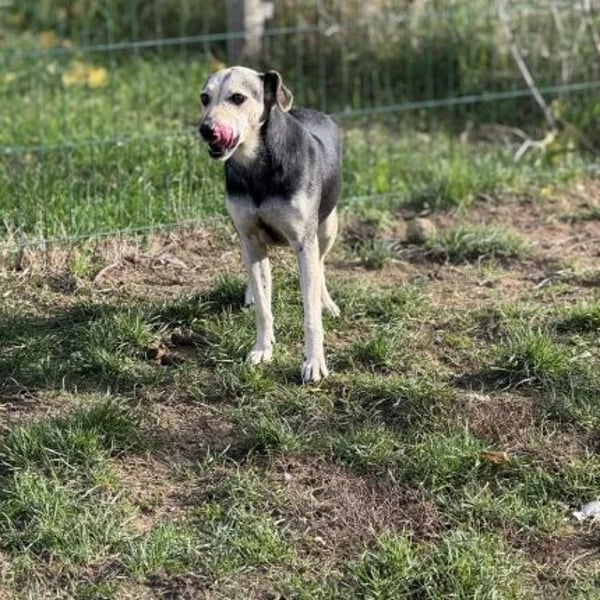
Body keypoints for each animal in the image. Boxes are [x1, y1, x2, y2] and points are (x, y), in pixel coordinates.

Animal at [198, 66, 342, 383]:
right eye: (204, 98)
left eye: (238, 98)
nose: (205, 129)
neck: (256, 165)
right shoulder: (250, 238)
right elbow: (264, 306)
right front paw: (262, 349)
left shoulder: (304, 243)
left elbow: (310, 314)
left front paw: (314, 362)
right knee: (262, 275)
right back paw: (252, 292)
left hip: (327, 227)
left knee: (321, 263)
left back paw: (327, 302)